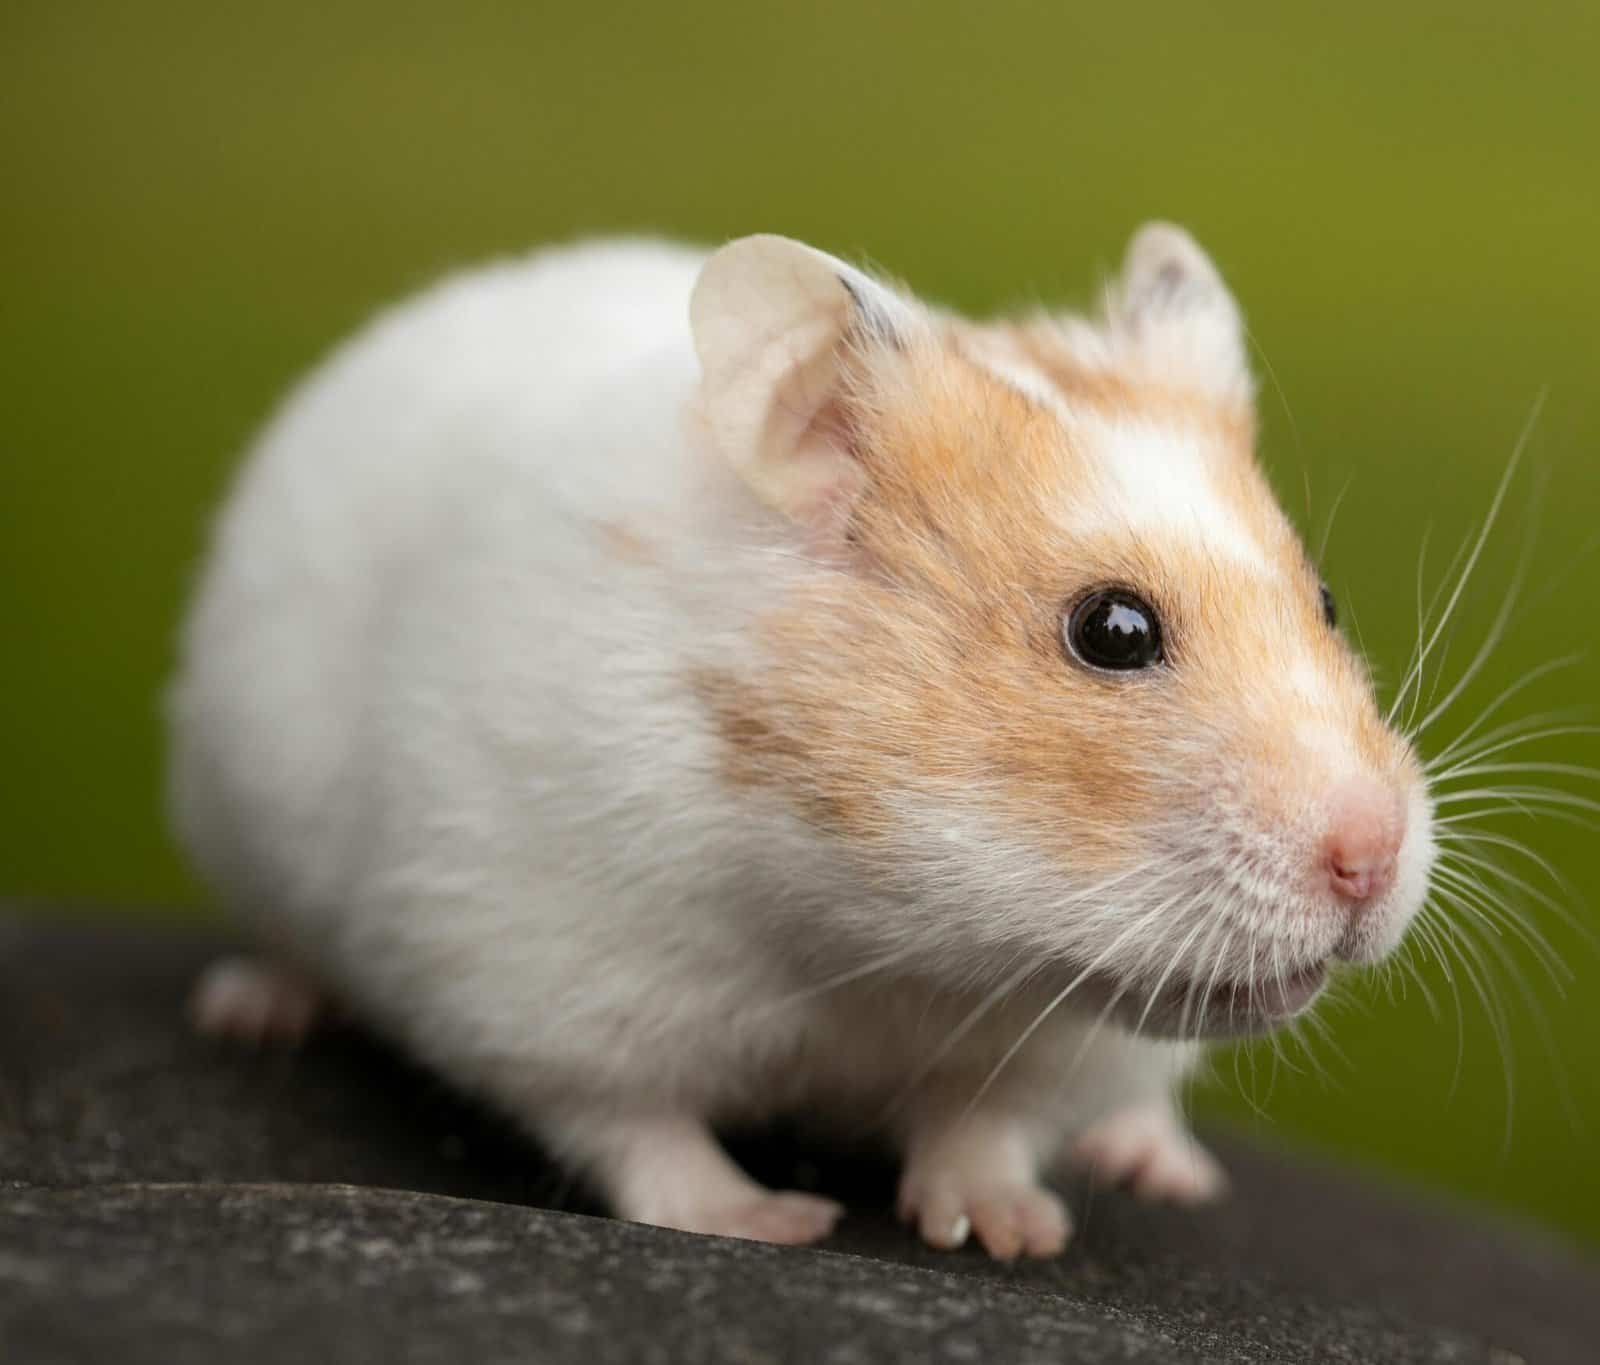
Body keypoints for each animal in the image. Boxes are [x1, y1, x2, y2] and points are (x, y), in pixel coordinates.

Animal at [167, 225, 1435, 1259]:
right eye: (1112, 630)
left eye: (1325, 601)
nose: (1370, 861)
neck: (886, 940)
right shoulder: (534, 968)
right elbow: (637, 1129)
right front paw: (772, 1223)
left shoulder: (1053, 1048)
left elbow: (984, 1126)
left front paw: (1011, 1233)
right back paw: (252, 1009)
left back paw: (1156, 1164)